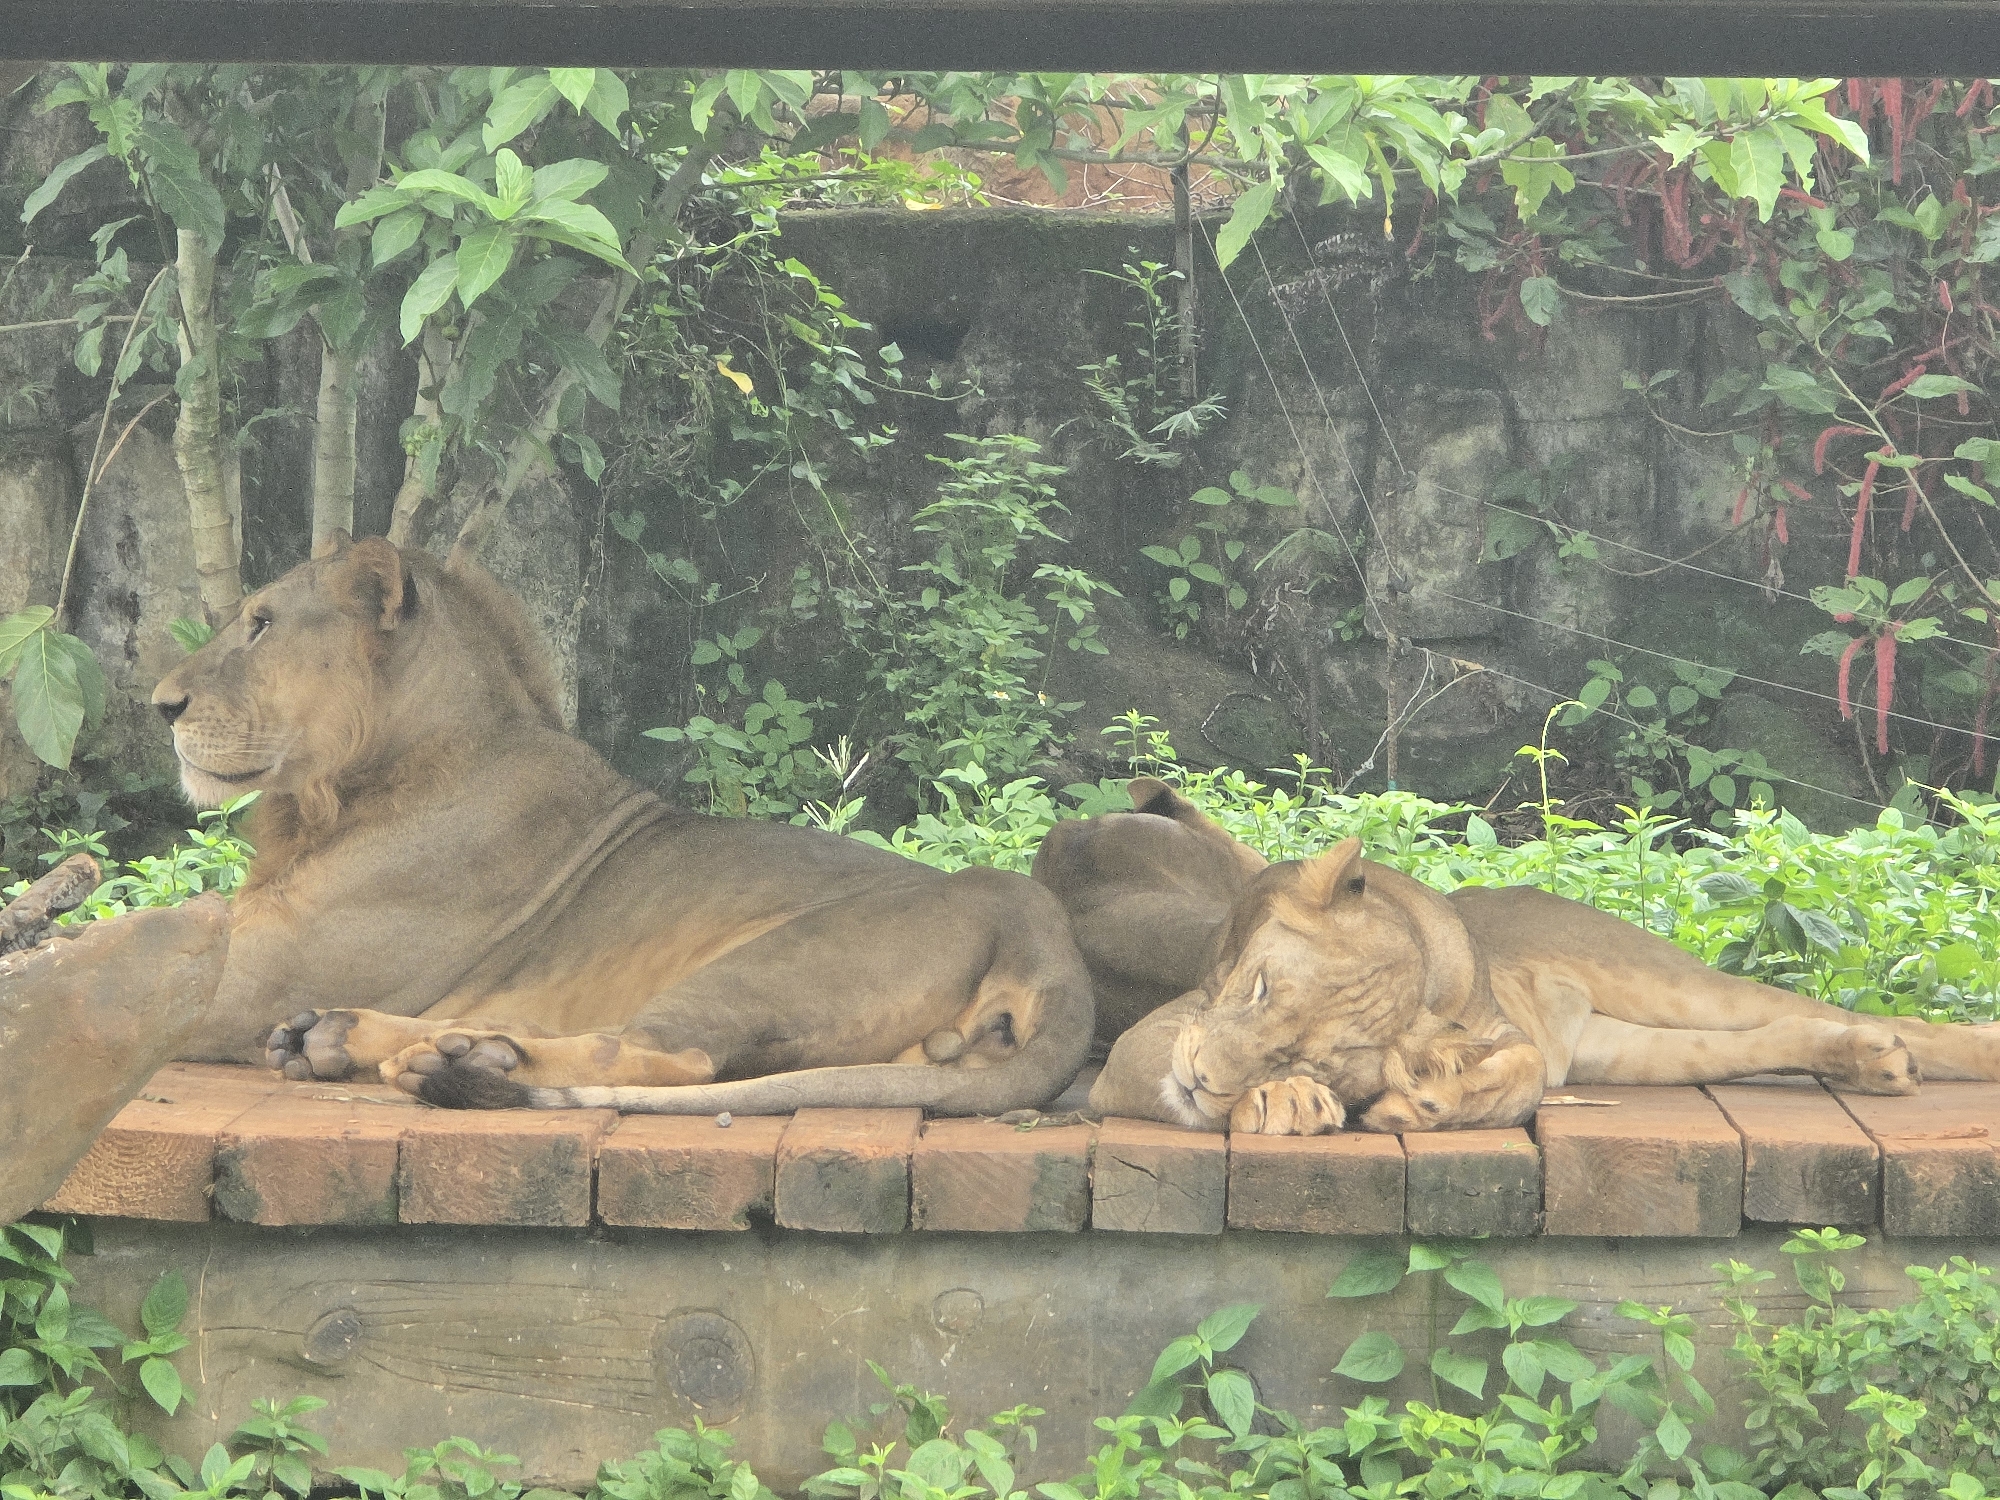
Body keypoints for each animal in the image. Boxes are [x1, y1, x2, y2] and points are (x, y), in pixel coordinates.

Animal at [148, 533, 1094, 1115]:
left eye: (261, 625)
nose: (159, 705)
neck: (335, 796)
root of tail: (1046, 933)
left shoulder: (244, 977)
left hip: (773, 960)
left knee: (664, 1053)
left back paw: (458, 1062)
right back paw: (346, 1036)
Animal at [1031, 778, 2000, 1134]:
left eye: (1319, 1052)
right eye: (1260, 987)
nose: (1202, 1081)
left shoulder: (1505, 1029)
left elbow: (1524, 1067)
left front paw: (1426, 1096)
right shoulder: (1147, 1046)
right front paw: (1285, 1101)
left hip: (1665, 984)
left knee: (1831, 1012)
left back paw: (1909, 1052)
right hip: (1633, 1048)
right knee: (1778, 1033)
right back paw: (1874, 1062)